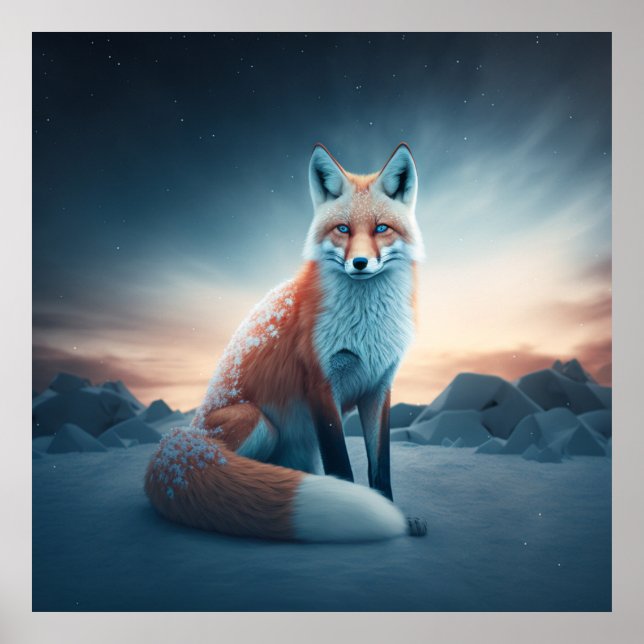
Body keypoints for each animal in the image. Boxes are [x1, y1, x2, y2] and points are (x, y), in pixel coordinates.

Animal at [145, 142, 426, 542]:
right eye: (343, 229)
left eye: (381, 228)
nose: (359, 263)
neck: (365, 327)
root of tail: (182, 436)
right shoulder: (321, 384)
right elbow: (342, 466)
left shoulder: (379, 386)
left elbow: (380, 467)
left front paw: (394, 512)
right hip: (257, 421)